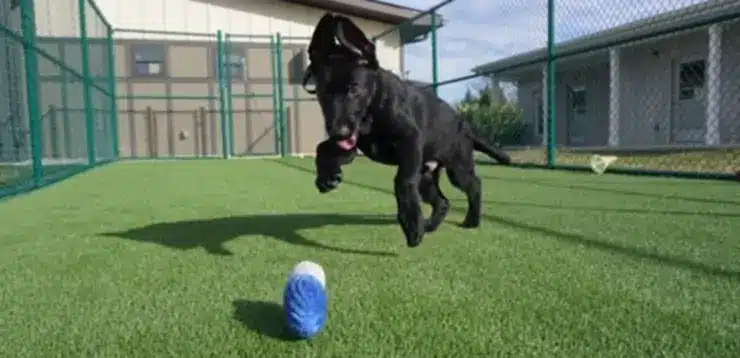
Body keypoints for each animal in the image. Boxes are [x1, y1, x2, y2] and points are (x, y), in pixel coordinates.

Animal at [304, 14, 512, 249]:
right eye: (322, 92)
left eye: (354, 89)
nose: (339, 132)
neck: (373, 107)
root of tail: (465, 126)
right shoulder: (352, 143)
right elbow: (322, 147)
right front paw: (327, 176)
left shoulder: (410, 139)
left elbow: (402, 181)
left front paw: (411, 222)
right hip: (426, 177)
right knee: (443, 202)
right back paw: (429, 225)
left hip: (457, 168)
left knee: (474, 185)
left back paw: (470, 221)